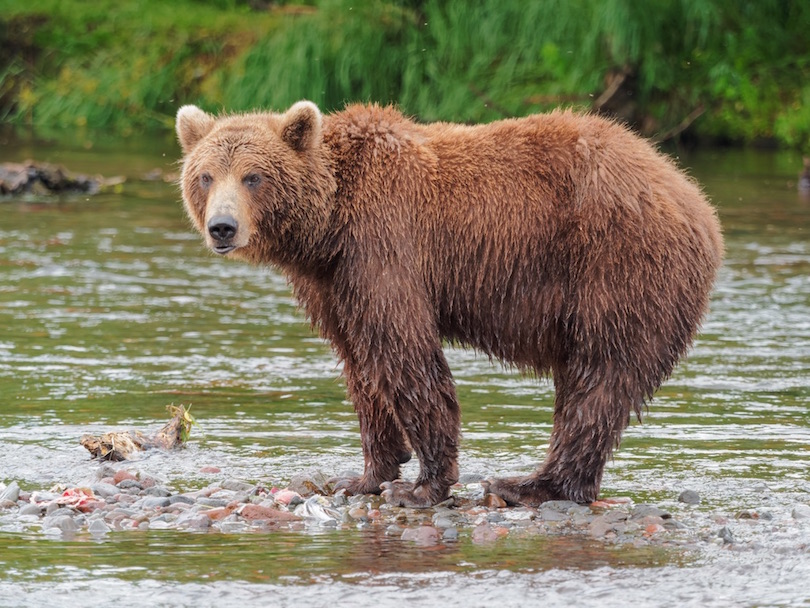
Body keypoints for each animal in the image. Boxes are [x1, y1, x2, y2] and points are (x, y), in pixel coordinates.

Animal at [175, 101, 720, 508]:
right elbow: (360, 366)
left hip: (617, 268)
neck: (327, 228)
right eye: (205, 176)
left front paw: (423, 486)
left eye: (253, 176)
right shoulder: (333, 284)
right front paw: (364, 475)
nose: (222, 227)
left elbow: (405, 354)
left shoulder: (384, 246)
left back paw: (529, 484)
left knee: (599, 378)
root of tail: (695, 199)